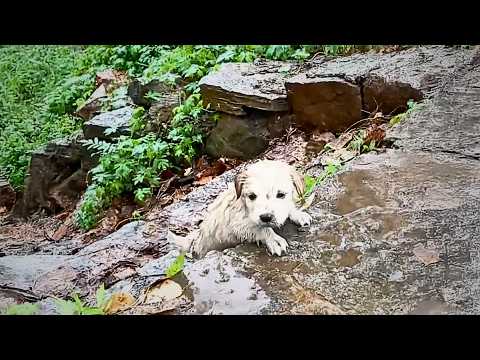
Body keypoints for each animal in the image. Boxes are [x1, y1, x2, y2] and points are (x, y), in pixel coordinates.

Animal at [188, 160, 316, 258]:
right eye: (252, 196)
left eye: (281, 195)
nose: (266, 217)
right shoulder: (238, 225)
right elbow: (262, 229)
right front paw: (275, 240)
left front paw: (298, 214)